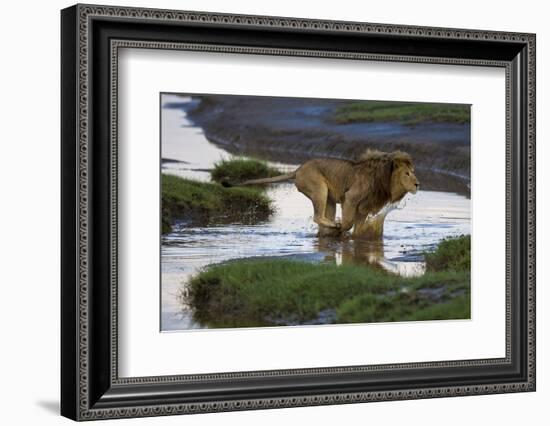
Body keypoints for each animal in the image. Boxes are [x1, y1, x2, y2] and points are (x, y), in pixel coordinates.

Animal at [222, 150, 420, 235]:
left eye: (414, 171)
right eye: (407, 173)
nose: (418, 184)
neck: (385, 180)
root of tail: (298, 169)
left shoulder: (364, 207)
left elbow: (358, 228)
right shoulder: (350, 198)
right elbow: (348, 223)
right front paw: (340, 229)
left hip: (329, 200)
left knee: (323, 217)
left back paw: (328, 230)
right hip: (319, 189)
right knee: (317, 217)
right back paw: (333, 226)